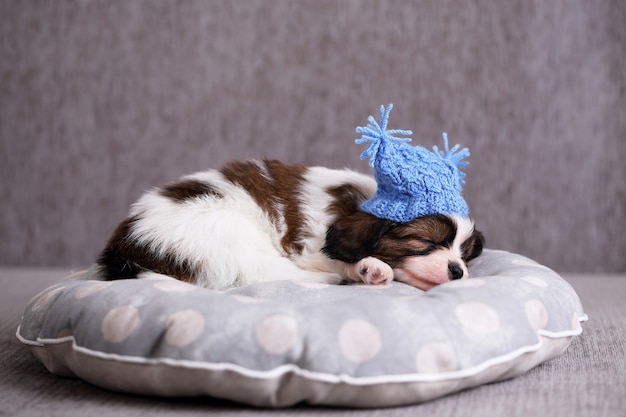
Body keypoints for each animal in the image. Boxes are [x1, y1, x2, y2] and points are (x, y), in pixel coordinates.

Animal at [96, 158, 482, 290]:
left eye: (465, 254)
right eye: (425, 243)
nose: (457, 270)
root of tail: (126, 246)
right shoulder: (308, 244)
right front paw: (367, 266)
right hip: (226, 231)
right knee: (261, 273)